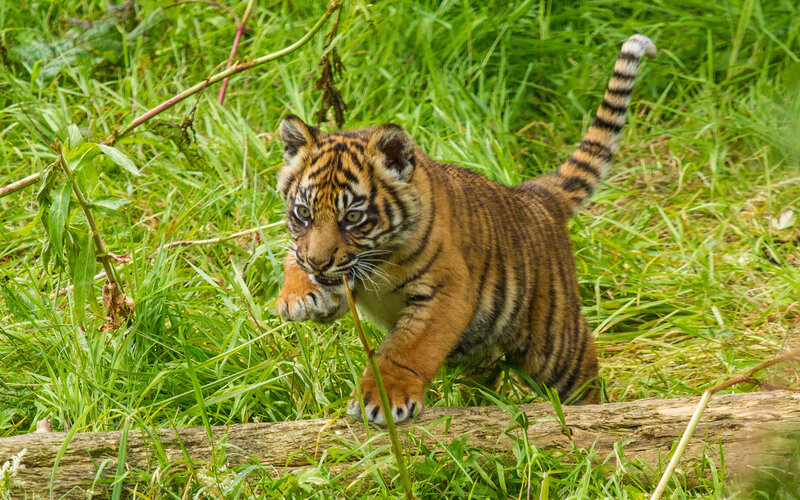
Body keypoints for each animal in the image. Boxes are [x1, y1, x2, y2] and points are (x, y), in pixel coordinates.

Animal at [275, 35, 656, 425]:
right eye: (303, 213)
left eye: (352, 217)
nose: (318, 263)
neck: (378, 261)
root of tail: (534, 195)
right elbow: (295, 256)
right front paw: (297, 296)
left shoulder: (447, 293)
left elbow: (406, 350)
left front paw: (382, 398)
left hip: (557, 347)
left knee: (587, 380)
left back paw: (598, 415)